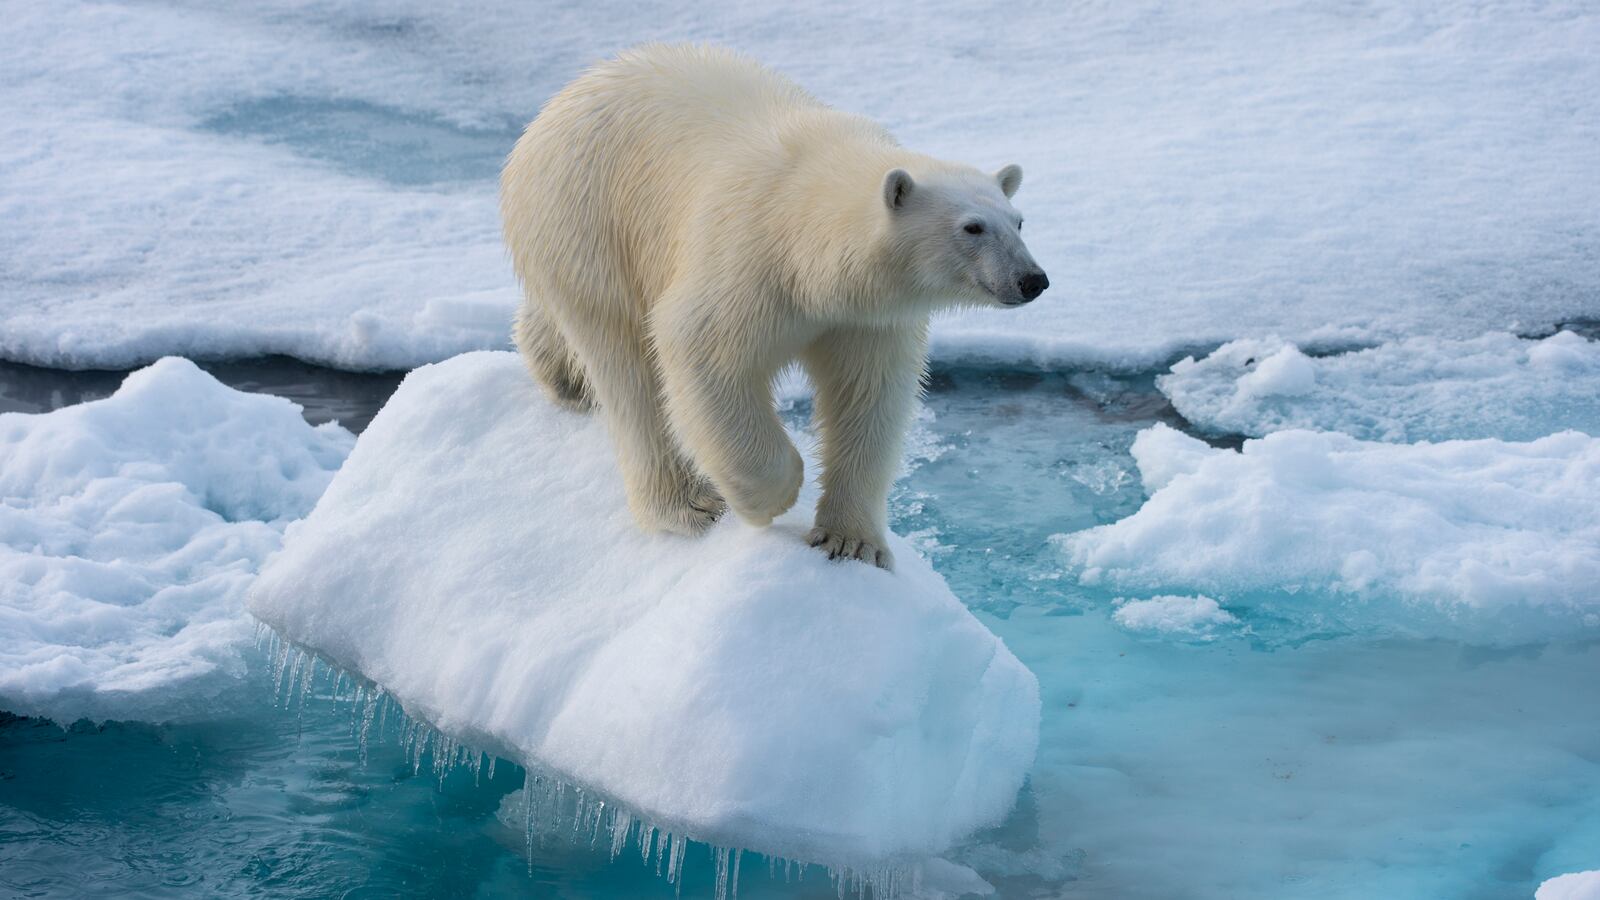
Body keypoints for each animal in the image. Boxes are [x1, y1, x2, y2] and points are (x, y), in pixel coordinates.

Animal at [500, 44, 1047, 569]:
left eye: (1018, 221)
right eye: (972, 227)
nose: (1032, 280)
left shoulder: (865, 318)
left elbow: (870, 397)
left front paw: (853, 542)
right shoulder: (748, 260)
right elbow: (702, 353)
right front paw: (772, 496)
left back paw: (560, 375)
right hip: (588, 223)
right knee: (628, 369)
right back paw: (690, 506)